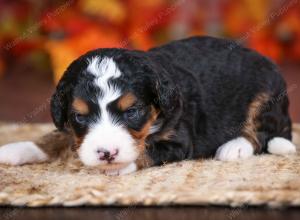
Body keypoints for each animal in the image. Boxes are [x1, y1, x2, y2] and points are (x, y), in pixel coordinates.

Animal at [0, 36, 296, 175]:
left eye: (132, 112)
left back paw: (234, 147)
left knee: (261, 133)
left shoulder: (179, 139)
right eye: (80, 117)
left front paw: (117, 165)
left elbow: (146, 149)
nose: (106, 153)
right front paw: (20, 148)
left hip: (266, 94)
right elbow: (57, 135)